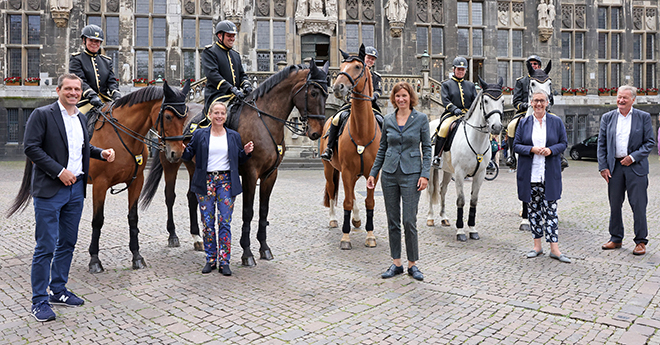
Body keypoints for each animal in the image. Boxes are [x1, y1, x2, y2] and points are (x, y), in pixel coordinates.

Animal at [7, 80, 191, 272]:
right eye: (168, 116)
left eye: (185, 116)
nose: (176, 153)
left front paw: (136, 255)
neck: (123, 136)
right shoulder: (100, 184)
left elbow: (133, 218)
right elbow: (97, 220)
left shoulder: (136, 181)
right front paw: (94, 259)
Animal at [139, 61, 330, 264]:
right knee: (170, 196)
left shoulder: (271, 174)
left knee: (192, 197)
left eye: (327, 93)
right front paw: (247, 252)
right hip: (170, 160)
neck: (263, 122)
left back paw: (197, 238)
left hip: (194, 165)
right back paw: (173, 235)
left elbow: (263, 210)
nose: (316, 133)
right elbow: (248, 211)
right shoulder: (250, 173)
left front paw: (264, 247)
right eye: (314, 93)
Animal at [320, 45, 378, 250]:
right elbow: (345, 201)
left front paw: (370, 235)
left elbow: (369, 201)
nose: (338, 87)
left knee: (351, 193)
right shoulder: (345, 171)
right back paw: (333, 219)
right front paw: (345, 238)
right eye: (342, 66)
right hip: (330, 169)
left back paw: (357, 219)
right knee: (332, 191)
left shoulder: (372, 172)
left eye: (357, 67)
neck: (361, 131)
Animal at [428, 76, 506, 241]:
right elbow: (461, 200)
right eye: (485, 101)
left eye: (502, 100)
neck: (476, 139)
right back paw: (430, 218)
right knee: (431, 188)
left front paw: (472, 229)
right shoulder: (459, 174)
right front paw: (460, 231)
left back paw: (444, 218)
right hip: (431, 168)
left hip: (447, 170)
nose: (496, 127)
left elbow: (473, 201)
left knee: (442, 189)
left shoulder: (480, 174)